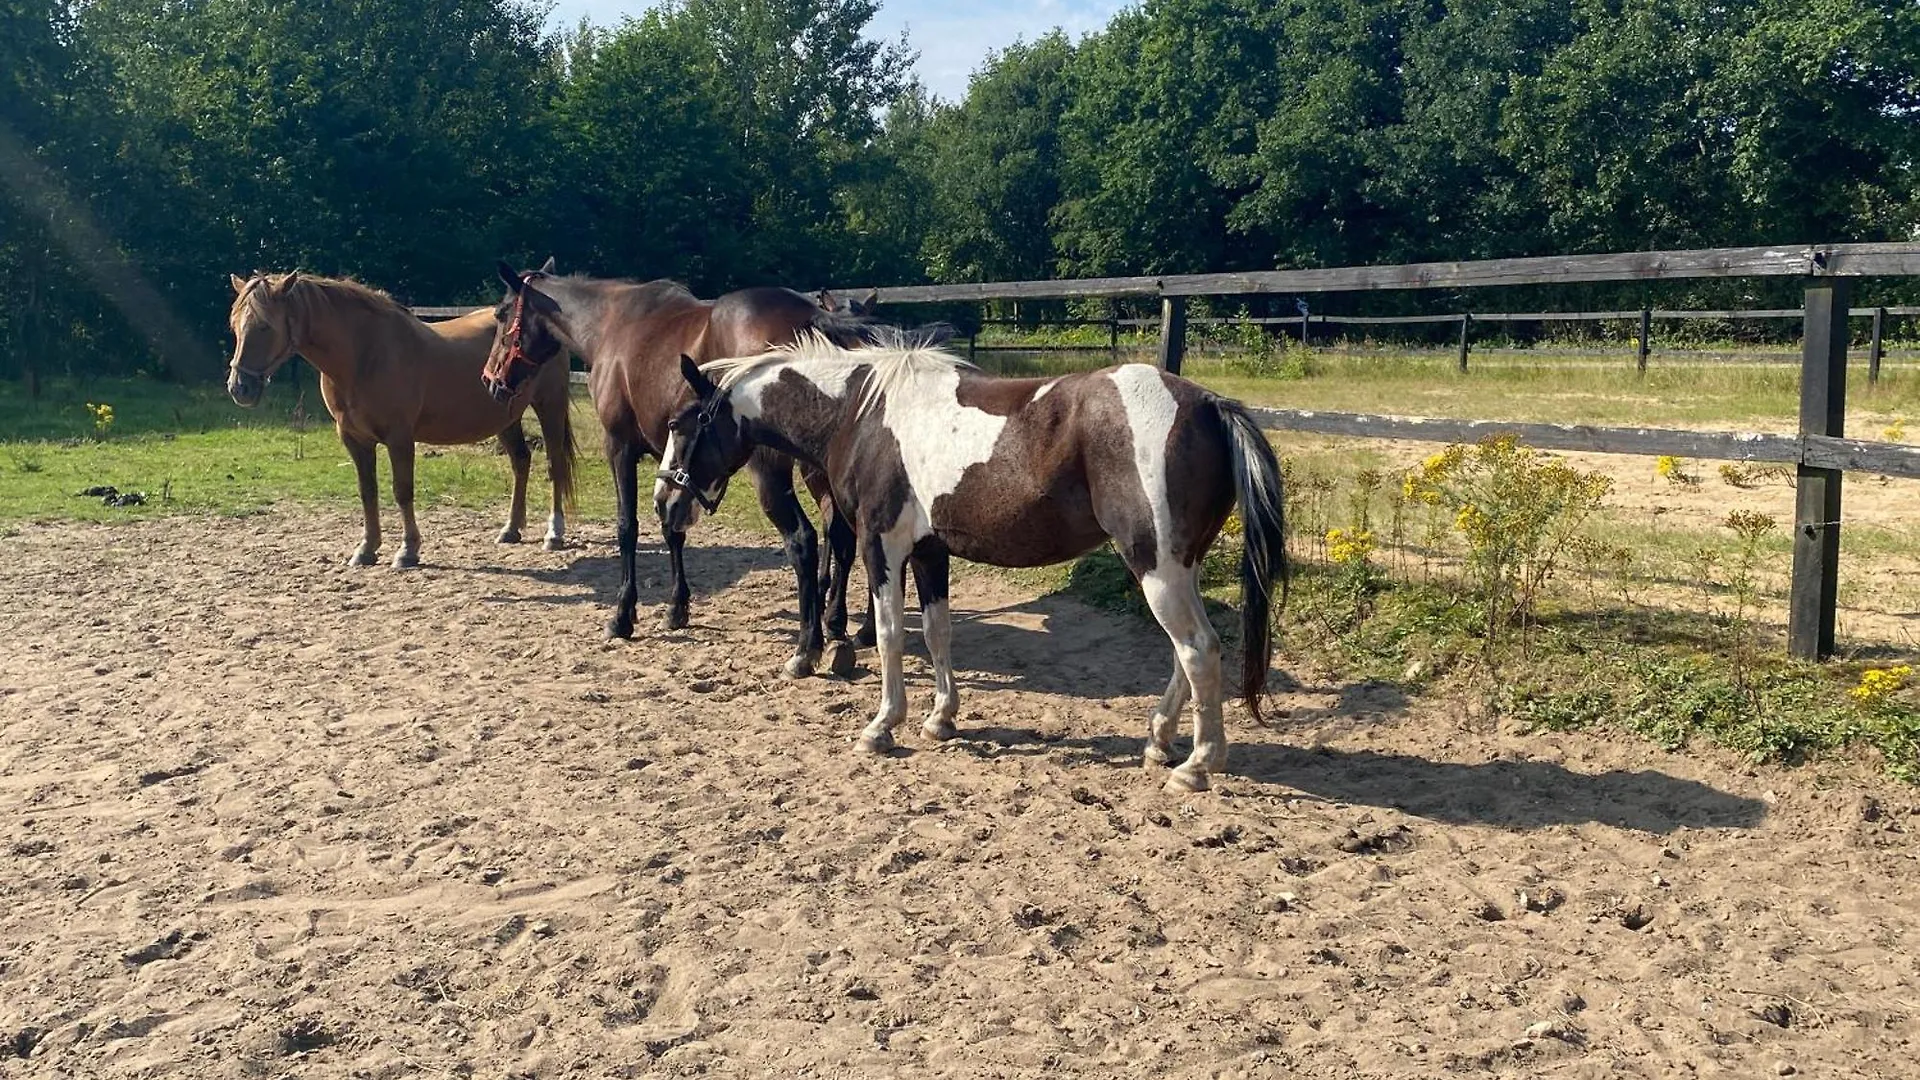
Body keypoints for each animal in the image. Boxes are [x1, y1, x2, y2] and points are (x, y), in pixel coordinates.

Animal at [660, 336, 1290, 791]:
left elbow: (890, 634)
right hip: (1177, 566)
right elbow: (938, 632)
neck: (861, 413)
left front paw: (883, 726)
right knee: (1186, 653)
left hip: (1156, 566)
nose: (666, 501)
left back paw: (1198, 765)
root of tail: (1208, 405)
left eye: (679, 424)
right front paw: (941, 718)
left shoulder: (881, 545)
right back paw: (1159, 741)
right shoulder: (929, 550)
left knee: (1198, 649)